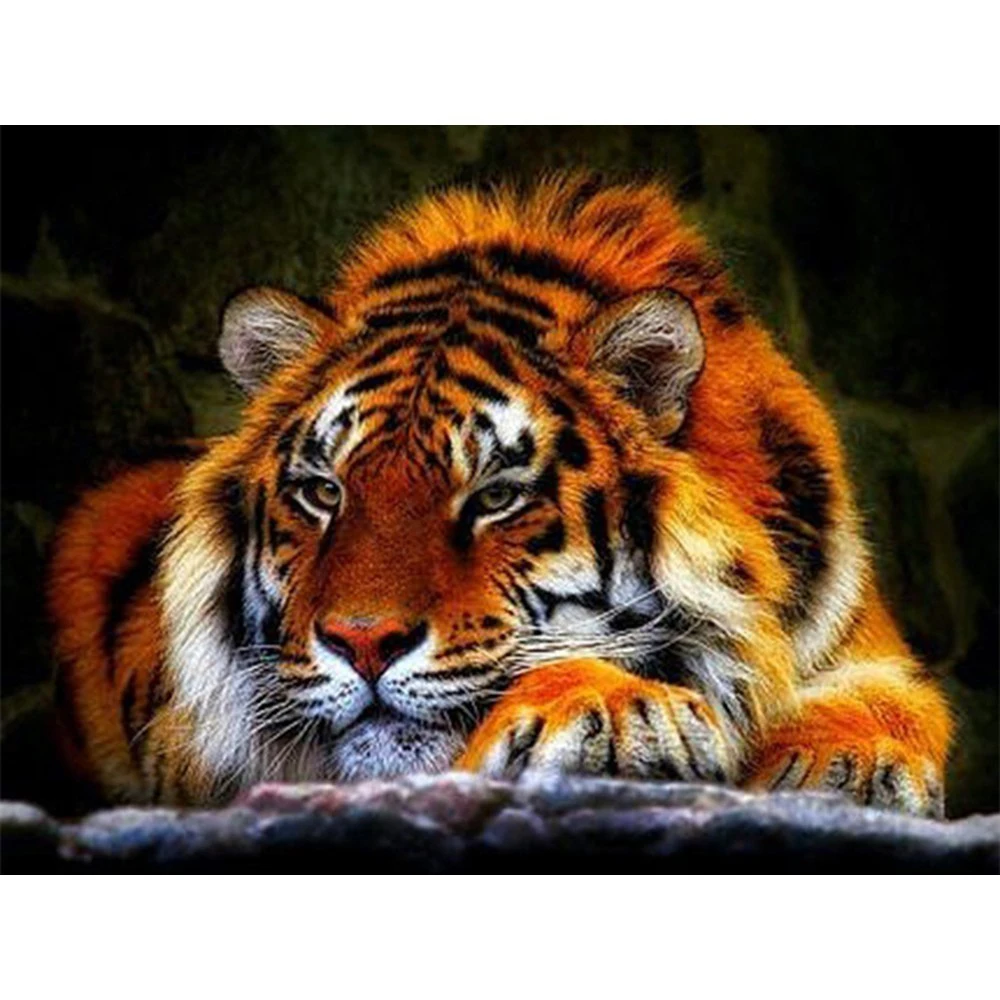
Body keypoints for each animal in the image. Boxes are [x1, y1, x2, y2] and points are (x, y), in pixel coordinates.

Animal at [48, 173, 952, 814]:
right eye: (323, 492)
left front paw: (845, 763)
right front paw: (618, 710)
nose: (362, 643)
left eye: (494, 497)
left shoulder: (863, 645)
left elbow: (892, 702)